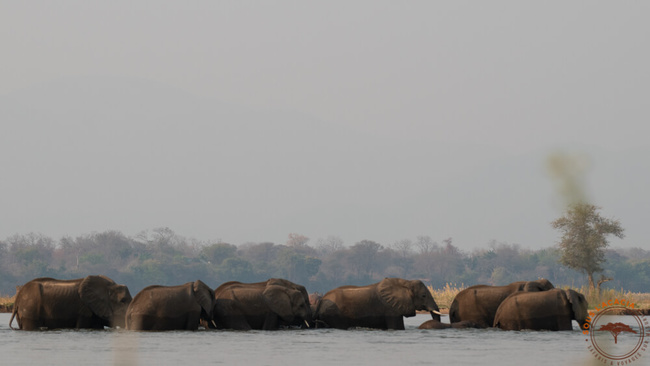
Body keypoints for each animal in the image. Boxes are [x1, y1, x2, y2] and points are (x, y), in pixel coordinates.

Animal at [312, 276, 440, 330]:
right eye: (423, 296)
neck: (406, 282)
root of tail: (321, 300)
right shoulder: (391, 309)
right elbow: (398, 327)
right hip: (333, 313)